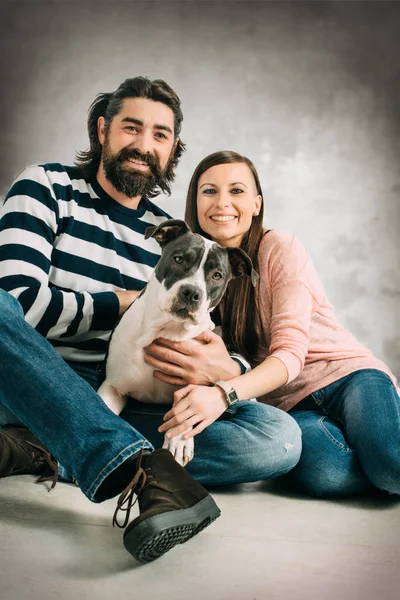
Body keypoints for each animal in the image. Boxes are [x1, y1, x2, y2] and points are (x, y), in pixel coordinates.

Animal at [97, 218, 255, 466]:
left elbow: (183, 411)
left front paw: (178, 443)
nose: (191, 292)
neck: (167, 328)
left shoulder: (195, 385)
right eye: (179, 259)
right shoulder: (113, 387)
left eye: (217, 275)